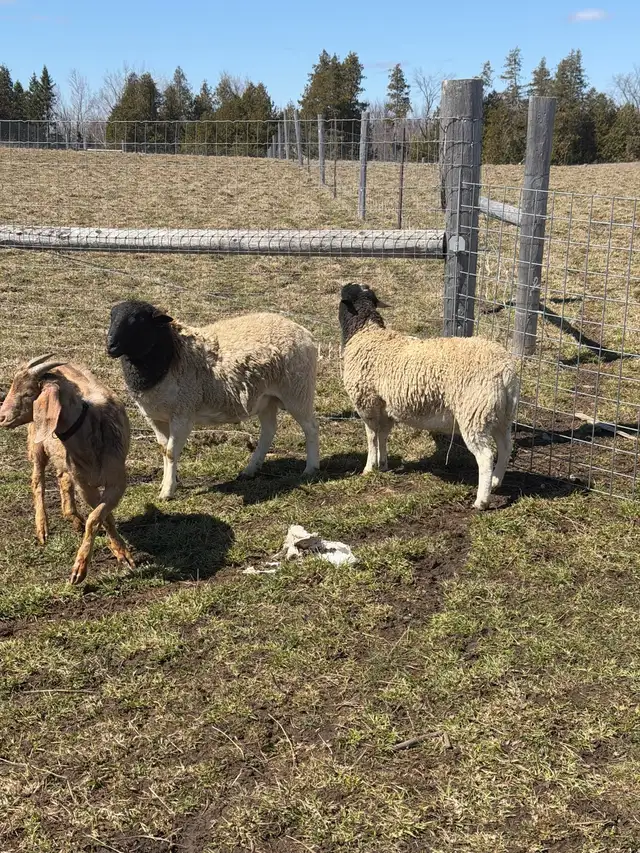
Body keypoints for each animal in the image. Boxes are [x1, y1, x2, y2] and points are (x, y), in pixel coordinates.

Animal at [0, 354, 135, 584]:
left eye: (29, 393)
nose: (1, 417)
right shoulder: (85, 486)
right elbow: (100, 517)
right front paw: (81, 570)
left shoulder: (117, 481)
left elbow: (97, 517)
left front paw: (121, 555)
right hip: (36, 446)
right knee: (38, 482)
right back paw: (43, 528)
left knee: (63, 478)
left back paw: (72, 516)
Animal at [106, 300, 320, 500]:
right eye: (112, 316)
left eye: (139, 320)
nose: (110, 346)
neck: (172, 356)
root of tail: (305, 333)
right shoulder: (155, 417)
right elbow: (164, 451)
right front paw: (168, 483)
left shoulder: (183, 413)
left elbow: (171, 452)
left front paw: (167, 492)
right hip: (267, 399)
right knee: (268, 431)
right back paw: (250, 470)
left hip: (297, 391)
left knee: (311, 428)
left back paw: (311, 468)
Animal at [338, 283, 519, 510]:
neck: (365, 332)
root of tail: (505, 371)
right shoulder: (385, 407)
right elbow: (383, 435)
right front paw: (384, 464)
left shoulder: (366, 403)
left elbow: (371, 437)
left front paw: (369, 468)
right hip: (500, 414)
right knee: (505, 447)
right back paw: (496, 481)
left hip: (474, 412)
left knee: (485, 456)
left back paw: (481, 500)